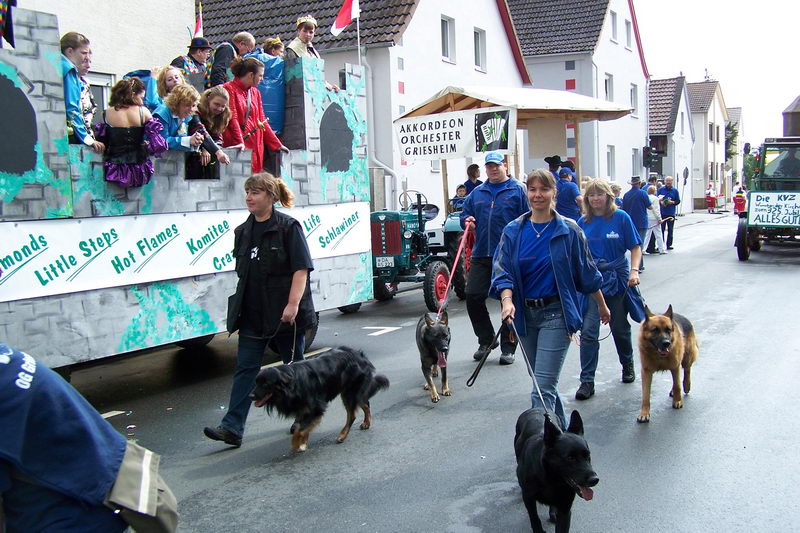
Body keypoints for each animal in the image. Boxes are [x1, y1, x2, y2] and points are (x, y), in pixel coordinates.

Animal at [250, 348, 388, 450]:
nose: (250, 396)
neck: (292, 384)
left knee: (353, 414)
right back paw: (366, 423)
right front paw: (303, 442)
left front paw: (297, 444)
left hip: (350, 391)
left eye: (265, 384)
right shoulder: (303, 408)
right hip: (352, 392)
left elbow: (300, 429)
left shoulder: (316, 407)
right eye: (256, 382)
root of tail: (360, 355)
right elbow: (302, 426)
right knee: (365, 403)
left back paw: (342, 435)